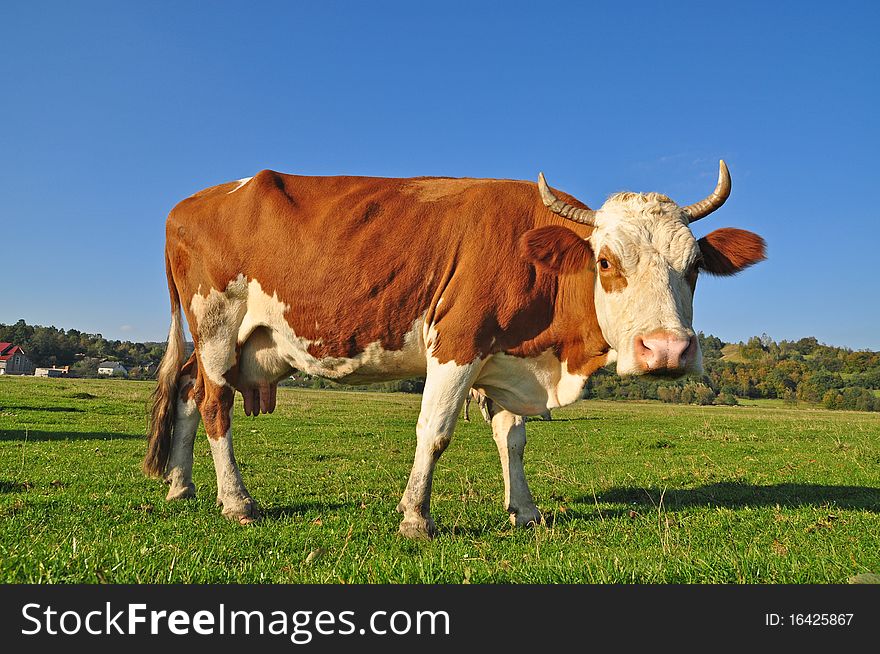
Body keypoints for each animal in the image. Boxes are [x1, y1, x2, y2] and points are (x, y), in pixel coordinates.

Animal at [144, 161, 764, 540]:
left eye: (695, 266)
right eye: (607, 261)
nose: (667, 350)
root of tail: (188, 203)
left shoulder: (506, 358)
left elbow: (511, 437)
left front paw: (525, 511)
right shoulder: (458, 342)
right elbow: (435, 431)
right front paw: (416, 517)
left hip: (227, 346)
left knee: (187, 394)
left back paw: (180, 485)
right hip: (217, 328)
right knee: (215, 408)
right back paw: (236, 502)